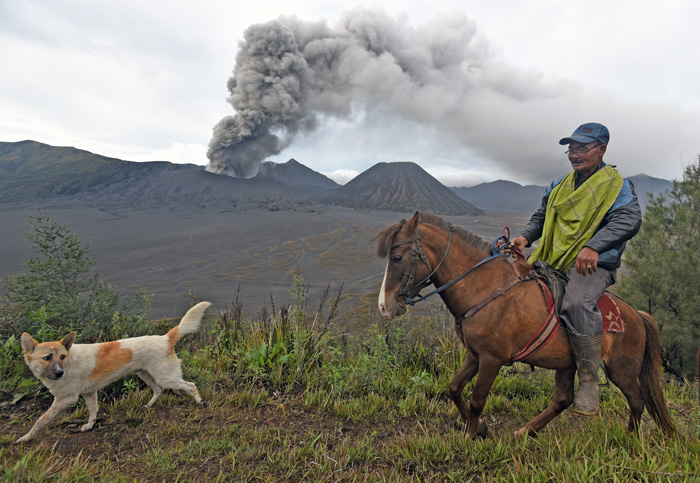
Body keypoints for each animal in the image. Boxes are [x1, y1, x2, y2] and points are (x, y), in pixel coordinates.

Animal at [15, 304, 211, 444]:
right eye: (47, 357)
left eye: (62, 356)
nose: (59, 372)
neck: (69, 363)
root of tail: (166, 338)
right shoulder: (89, 393)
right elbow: (93, 411)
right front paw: (90, 425)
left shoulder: (65, 399)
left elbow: (41, 420)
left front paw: (26, 438)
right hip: (146, 375)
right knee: (159, 390)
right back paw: (149, 406)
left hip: (167, 377)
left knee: (190, 386)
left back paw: (200, 402)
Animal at [374, 212, 676, 438]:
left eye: (397, 258)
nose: (384, 306)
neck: (483, 288)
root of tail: (637, 315)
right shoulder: (476, 355)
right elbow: (454, 388)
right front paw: (479, 428)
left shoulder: (492, 359)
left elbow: (477, 399)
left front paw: (471, 435)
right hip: (567, 364)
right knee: (562, 399)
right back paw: (526, 431)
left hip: (621, 370)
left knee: (637, 400)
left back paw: (630, 439)